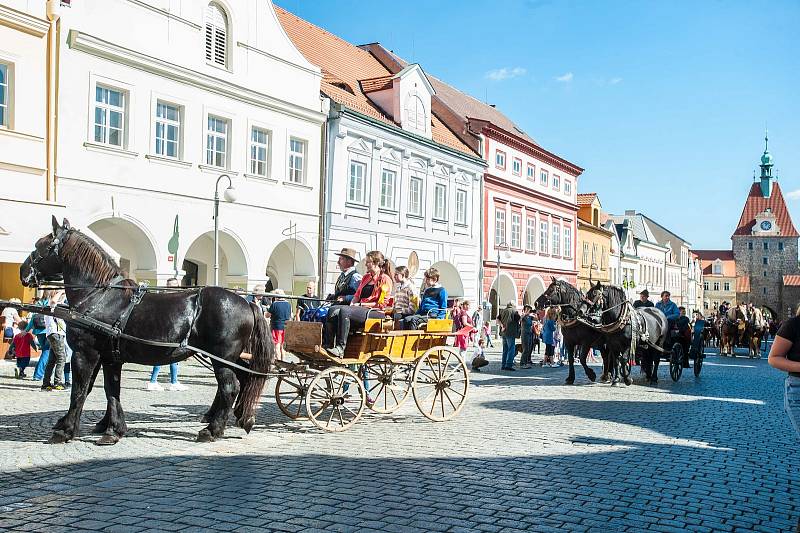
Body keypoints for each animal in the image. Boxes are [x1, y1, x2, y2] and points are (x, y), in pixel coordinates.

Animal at [19, 216, 276, 444]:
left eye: (41, 245)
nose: (23, 271)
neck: (99, 296)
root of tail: (247, 302)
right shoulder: (109, 357)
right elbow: (110, 390)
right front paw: (113, 429)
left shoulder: (86, 353)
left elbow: (80, 391)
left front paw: (67, 430)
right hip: (229, 357)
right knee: (244, 378)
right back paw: (244, 417)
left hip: (221, 357)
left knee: (229, 387)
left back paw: (212, 429)